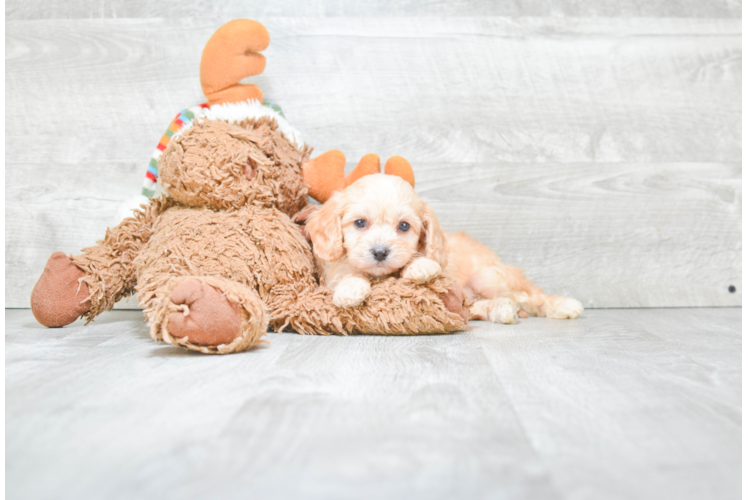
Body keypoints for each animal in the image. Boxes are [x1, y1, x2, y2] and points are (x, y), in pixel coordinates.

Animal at [306, 174, 584, 322]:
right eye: (360, 223)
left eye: (404, 226)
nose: (380, 252)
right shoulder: (333, 271)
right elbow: (347, 274)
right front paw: (350, 289)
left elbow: (422, 260)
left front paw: (420, 267)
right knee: (493, 305)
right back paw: (501, 311)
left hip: (489, 276)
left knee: (527, 296)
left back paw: (563, 305)